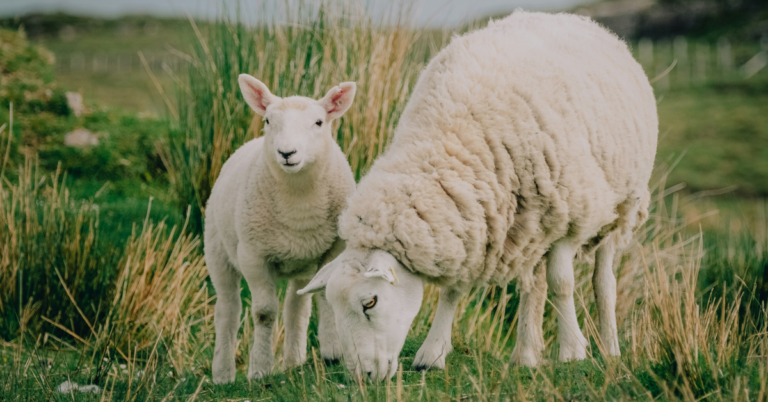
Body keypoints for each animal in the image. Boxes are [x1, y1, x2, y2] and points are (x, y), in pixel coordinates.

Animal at [205, 74, 357, 383]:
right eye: (267, 121)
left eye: (319, 122)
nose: (287, 153)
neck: (299, 200)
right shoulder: (253, 256)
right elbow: (264, 313)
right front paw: (260, 369)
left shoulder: (334, 250)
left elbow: (324, 297)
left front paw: (333, 352)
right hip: (217, 252)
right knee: (228, 310)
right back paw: (223, 374)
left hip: (302, 264)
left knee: (296, 308)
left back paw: (293, 362)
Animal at [298, 10, 658, 381]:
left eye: (370, 302)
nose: (362, 377)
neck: (450, 138)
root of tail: (570, 17)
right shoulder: (470, 218)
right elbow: (452, 291)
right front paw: (433, 353)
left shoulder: (571, 213)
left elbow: (562, 283)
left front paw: (572, 351)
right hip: (534, 224)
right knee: (533, 284)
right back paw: (525, 353)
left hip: (621, 207)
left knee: (603, 282)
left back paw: (609, 347)